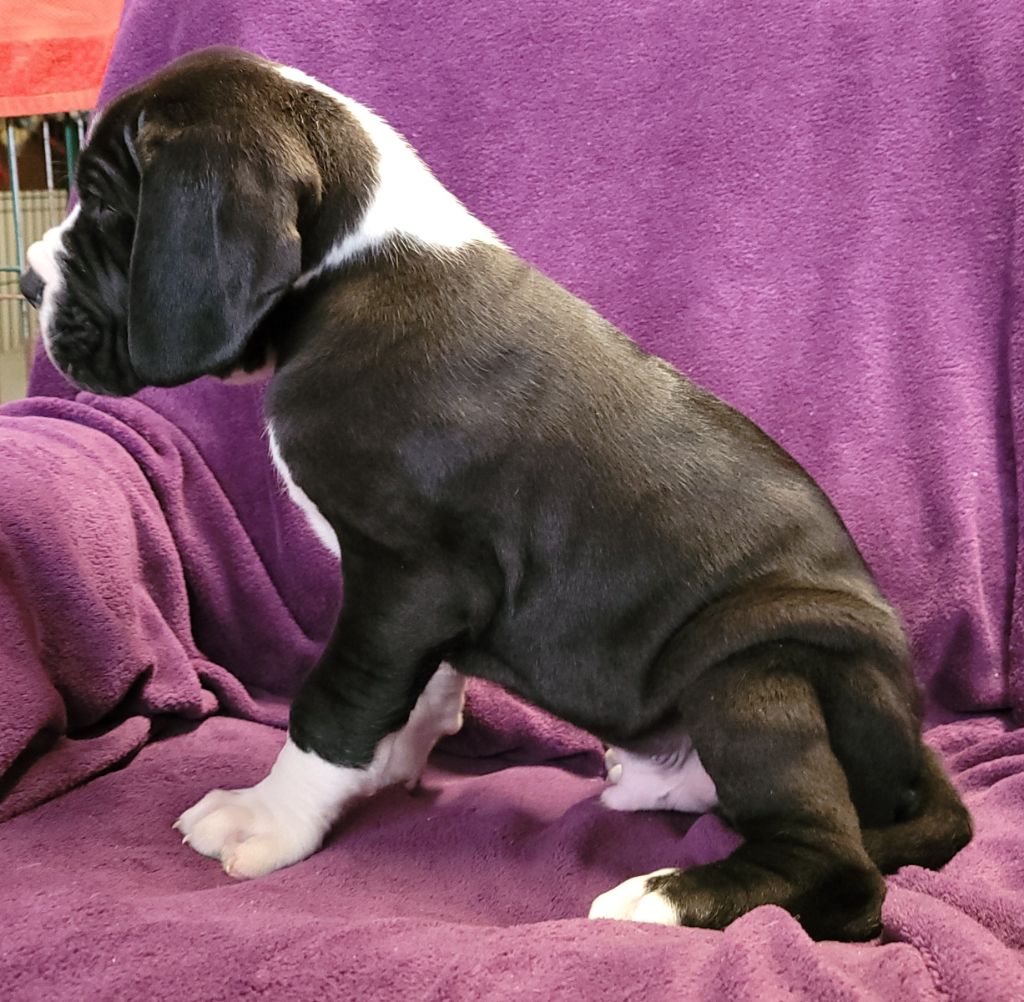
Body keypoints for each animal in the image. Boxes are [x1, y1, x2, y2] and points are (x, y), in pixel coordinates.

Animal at [20, 47, 971, 941]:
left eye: (105, 208)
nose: (26, 280)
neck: (347, 266)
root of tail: (910, 753)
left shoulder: (407, 576)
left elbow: (335, 698)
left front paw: (272, 817)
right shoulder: (425, 602)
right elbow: (416, 689)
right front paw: (385, 763)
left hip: (756, 665)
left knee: (842, 870)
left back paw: (666, 898)